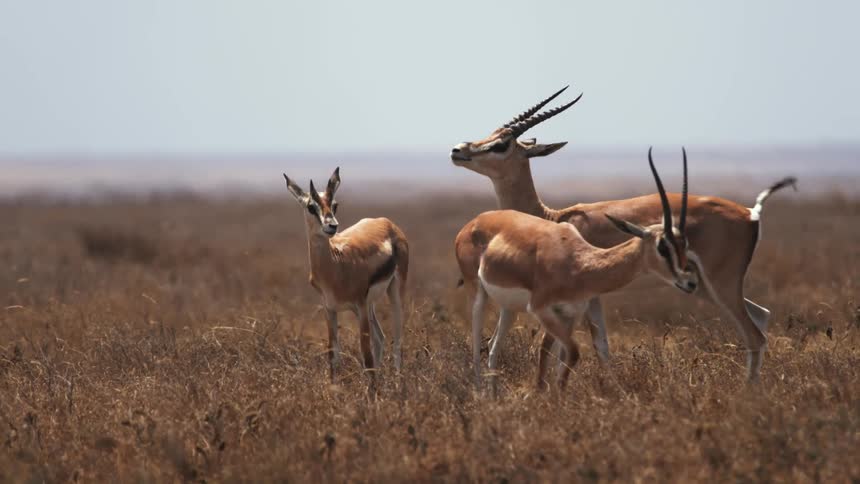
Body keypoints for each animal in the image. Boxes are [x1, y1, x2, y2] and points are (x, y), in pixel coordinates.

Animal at [283, 168, 409, 382]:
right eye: (311, 206)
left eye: (335, 204)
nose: (332, 226)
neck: (336, 266)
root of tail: (387, 223)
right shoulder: (330, 309)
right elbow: (333, 354)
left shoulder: (360, 305)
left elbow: (366, 356)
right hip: (368, 307)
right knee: (380, 338)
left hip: (392, 293)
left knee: (397, 340)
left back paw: (399, 384)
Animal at [457, 151, 696, 390]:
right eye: (662, 246)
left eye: (684, 243)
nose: (690, 282)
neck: (578, 263)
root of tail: (474, 222)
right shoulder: (541, 309)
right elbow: (569, 352)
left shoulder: (570, 314)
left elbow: (564, 359)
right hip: (478, 295)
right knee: (476, 344)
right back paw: (480, 392)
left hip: (509, 308)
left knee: (493, 346)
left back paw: (493, 394)